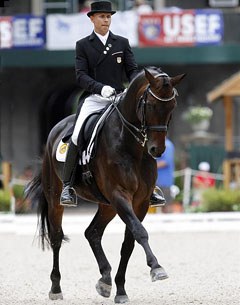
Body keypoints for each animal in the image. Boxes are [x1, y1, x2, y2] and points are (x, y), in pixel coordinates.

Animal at [25, 66, 185, 302]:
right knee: (56, 238)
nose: (157, 150)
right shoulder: (119, 195)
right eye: (150, 105)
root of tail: (58, 127)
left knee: (92, 232)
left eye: (172, 106)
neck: (131, 145)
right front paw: (156, 268)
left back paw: (105, 280)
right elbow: (140, 232)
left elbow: (129, 242)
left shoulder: (140, 201)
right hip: (56, 198)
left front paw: (121, 290)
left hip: (107, 205)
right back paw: (56, 288)